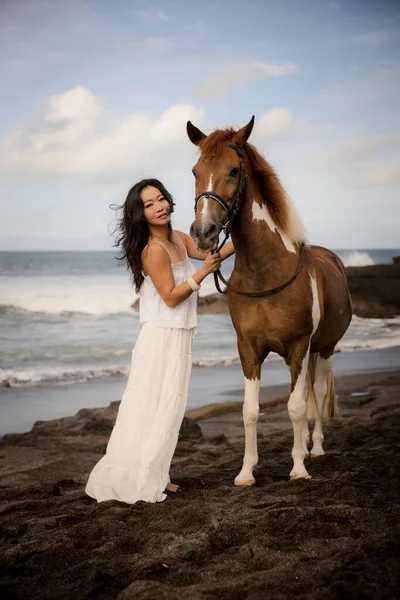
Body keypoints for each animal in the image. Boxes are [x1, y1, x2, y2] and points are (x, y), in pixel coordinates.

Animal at [188, 117, 354, 482]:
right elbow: (250, 410)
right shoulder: (248, 349)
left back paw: (315, 448)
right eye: (195, 171)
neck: (265, 271)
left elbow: (295, 406)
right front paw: (246, 471)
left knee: (315, 393)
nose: (204, 232)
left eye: (234, 170)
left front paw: (298, 468)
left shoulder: (299, 346)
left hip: (324, 348)